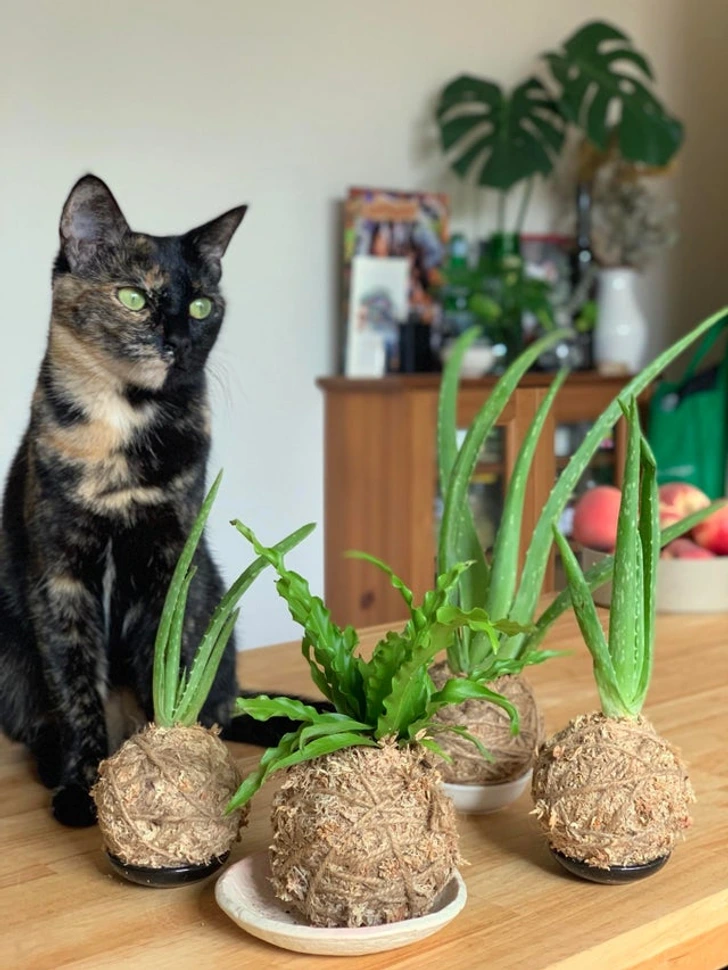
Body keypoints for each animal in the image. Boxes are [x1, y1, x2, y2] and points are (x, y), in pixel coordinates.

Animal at [0, 176, 302, 824]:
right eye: (134, 298)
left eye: (202, 307)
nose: (179, 340)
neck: (123, 423)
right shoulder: (61, 576)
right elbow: (76, 690)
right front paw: (82, 786)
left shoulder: (171, 565)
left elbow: (166, 670)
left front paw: (168, 771)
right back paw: (52, 765)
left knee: (215, 708)